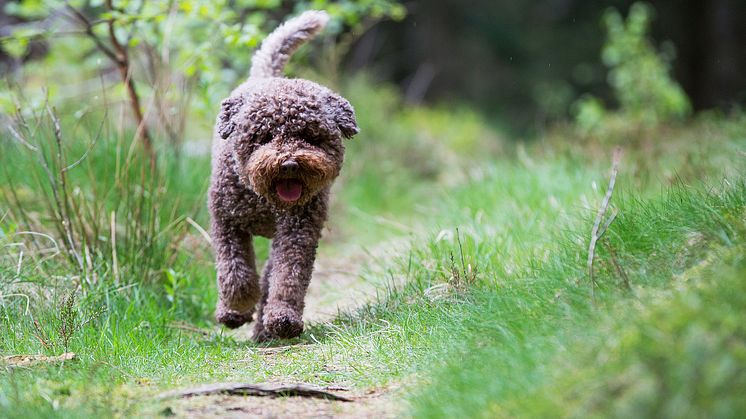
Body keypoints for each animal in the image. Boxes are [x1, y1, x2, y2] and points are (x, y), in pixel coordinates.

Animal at [208, 10, 358, 342]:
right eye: (263, 136)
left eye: (309, 136)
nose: (289, 164)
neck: (265, 200)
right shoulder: (226, 221)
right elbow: (235, 273)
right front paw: (236, 308)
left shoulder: (298, 230)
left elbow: (288, 275)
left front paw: (282, 318)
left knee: (270, 275)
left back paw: (265, 330)